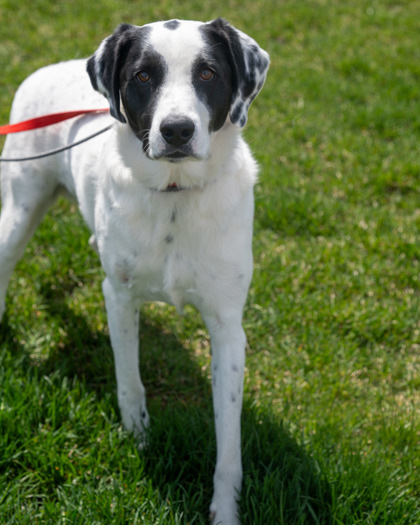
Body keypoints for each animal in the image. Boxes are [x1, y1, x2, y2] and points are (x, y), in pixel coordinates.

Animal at [0, 18, 270, 520]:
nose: (177, 130)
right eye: (143, 76)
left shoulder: (228, 325)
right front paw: (139, 438)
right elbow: (129, 381)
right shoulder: (120, 297)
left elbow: (229, 439)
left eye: (207, 73)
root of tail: (47, 69)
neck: (174, 196)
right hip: (20, 208)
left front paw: (226, 509)